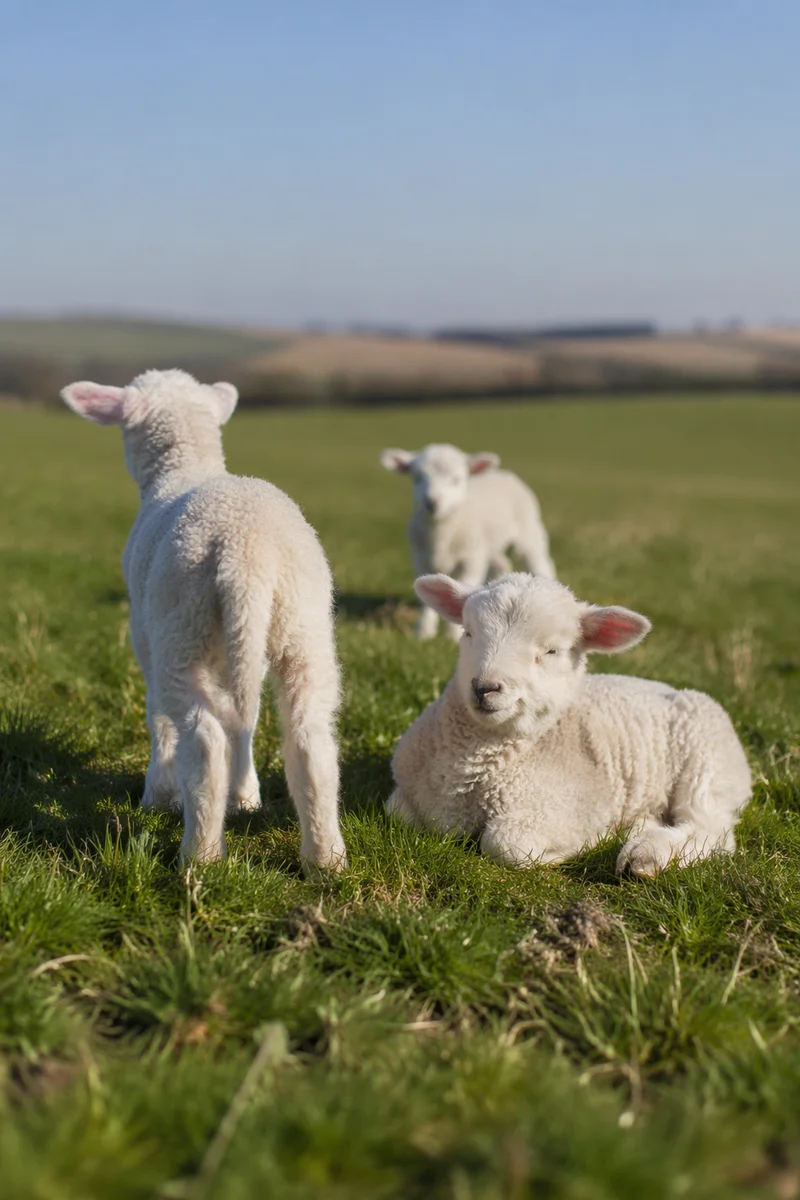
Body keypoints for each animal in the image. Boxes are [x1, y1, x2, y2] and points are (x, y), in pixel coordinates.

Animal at [61, 369, 347, 872]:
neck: (185, 466)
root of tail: (246, 555)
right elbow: (241, 720)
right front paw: (246, 795)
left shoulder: (146, 634)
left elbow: (159, 716)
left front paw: (158, 794)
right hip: (301, 628)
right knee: (309, 738)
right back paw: (325, 860)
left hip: (183, 631)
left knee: (203, 740)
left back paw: (201, 855)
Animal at [380, 443, 556, 641]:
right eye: (416, 478)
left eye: (456, 480)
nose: (432, 503)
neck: (441, 535)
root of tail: (502, 472)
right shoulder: (421, 560)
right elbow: (425, 601)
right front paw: (423, 633)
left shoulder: (471, 560)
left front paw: (451, 635)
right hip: (490, 545)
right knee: (501, 564)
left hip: (528, 531)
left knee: (540, 563)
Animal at [387, 572, 751, 877]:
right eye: (467, 632)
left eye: (551, 651)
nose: (484, 687)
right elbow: (396, 812)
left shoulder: (570, 808)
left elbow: (505, 842)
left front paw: (574, 848)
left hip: (707, 767)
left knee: (712, 831)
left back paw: (647, 855)